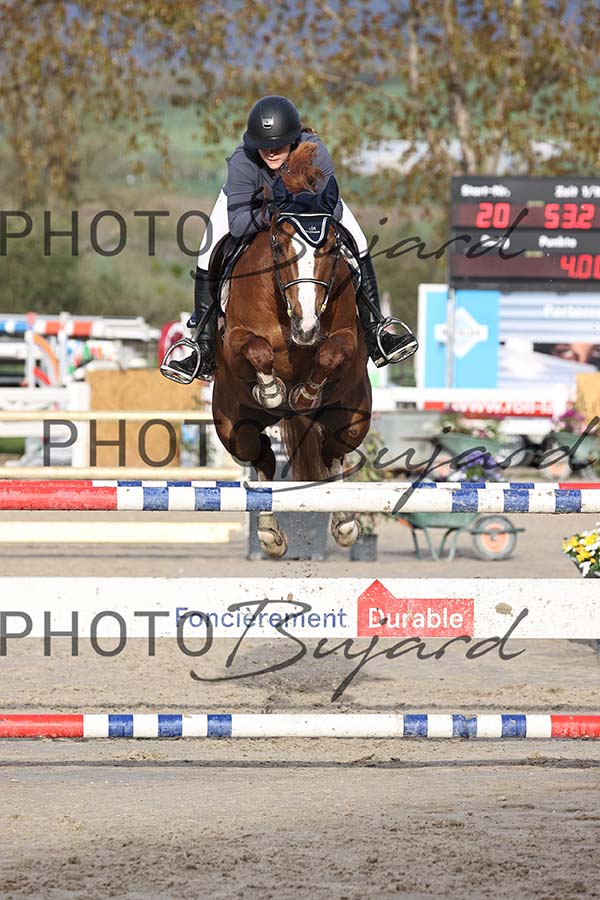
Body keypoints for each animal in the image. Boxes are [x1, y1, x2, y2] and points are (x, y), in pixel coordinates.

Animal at [212, 142, 372, 558]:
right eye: (279, 246)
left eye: (330, 248)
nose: (306, 326)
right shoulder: (234, 341)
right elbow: (257, 351)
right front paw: (272, 391)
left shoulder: (347, 338)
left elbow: (330, 354)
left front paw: (303, 395)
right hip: (234, 428)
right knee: (262, 459)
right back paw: (269, 534)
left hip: (354, 417)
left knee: (334, 451)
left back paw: (345, 522)